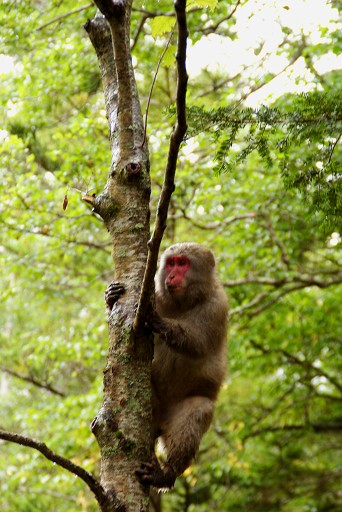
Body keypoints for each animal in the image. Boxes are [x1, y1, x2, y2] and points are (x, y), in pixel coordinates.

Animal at [104, 242, 227, 490]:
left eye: (183, 263)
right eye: (171, 263)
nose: (171, 275)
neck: (184, 302)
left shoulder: (218, 306)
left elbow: (199, 343)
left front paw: (158, 321)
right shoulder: (154, 294)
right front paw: (110, 298)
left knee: (198, 408)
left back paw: (167, 473)